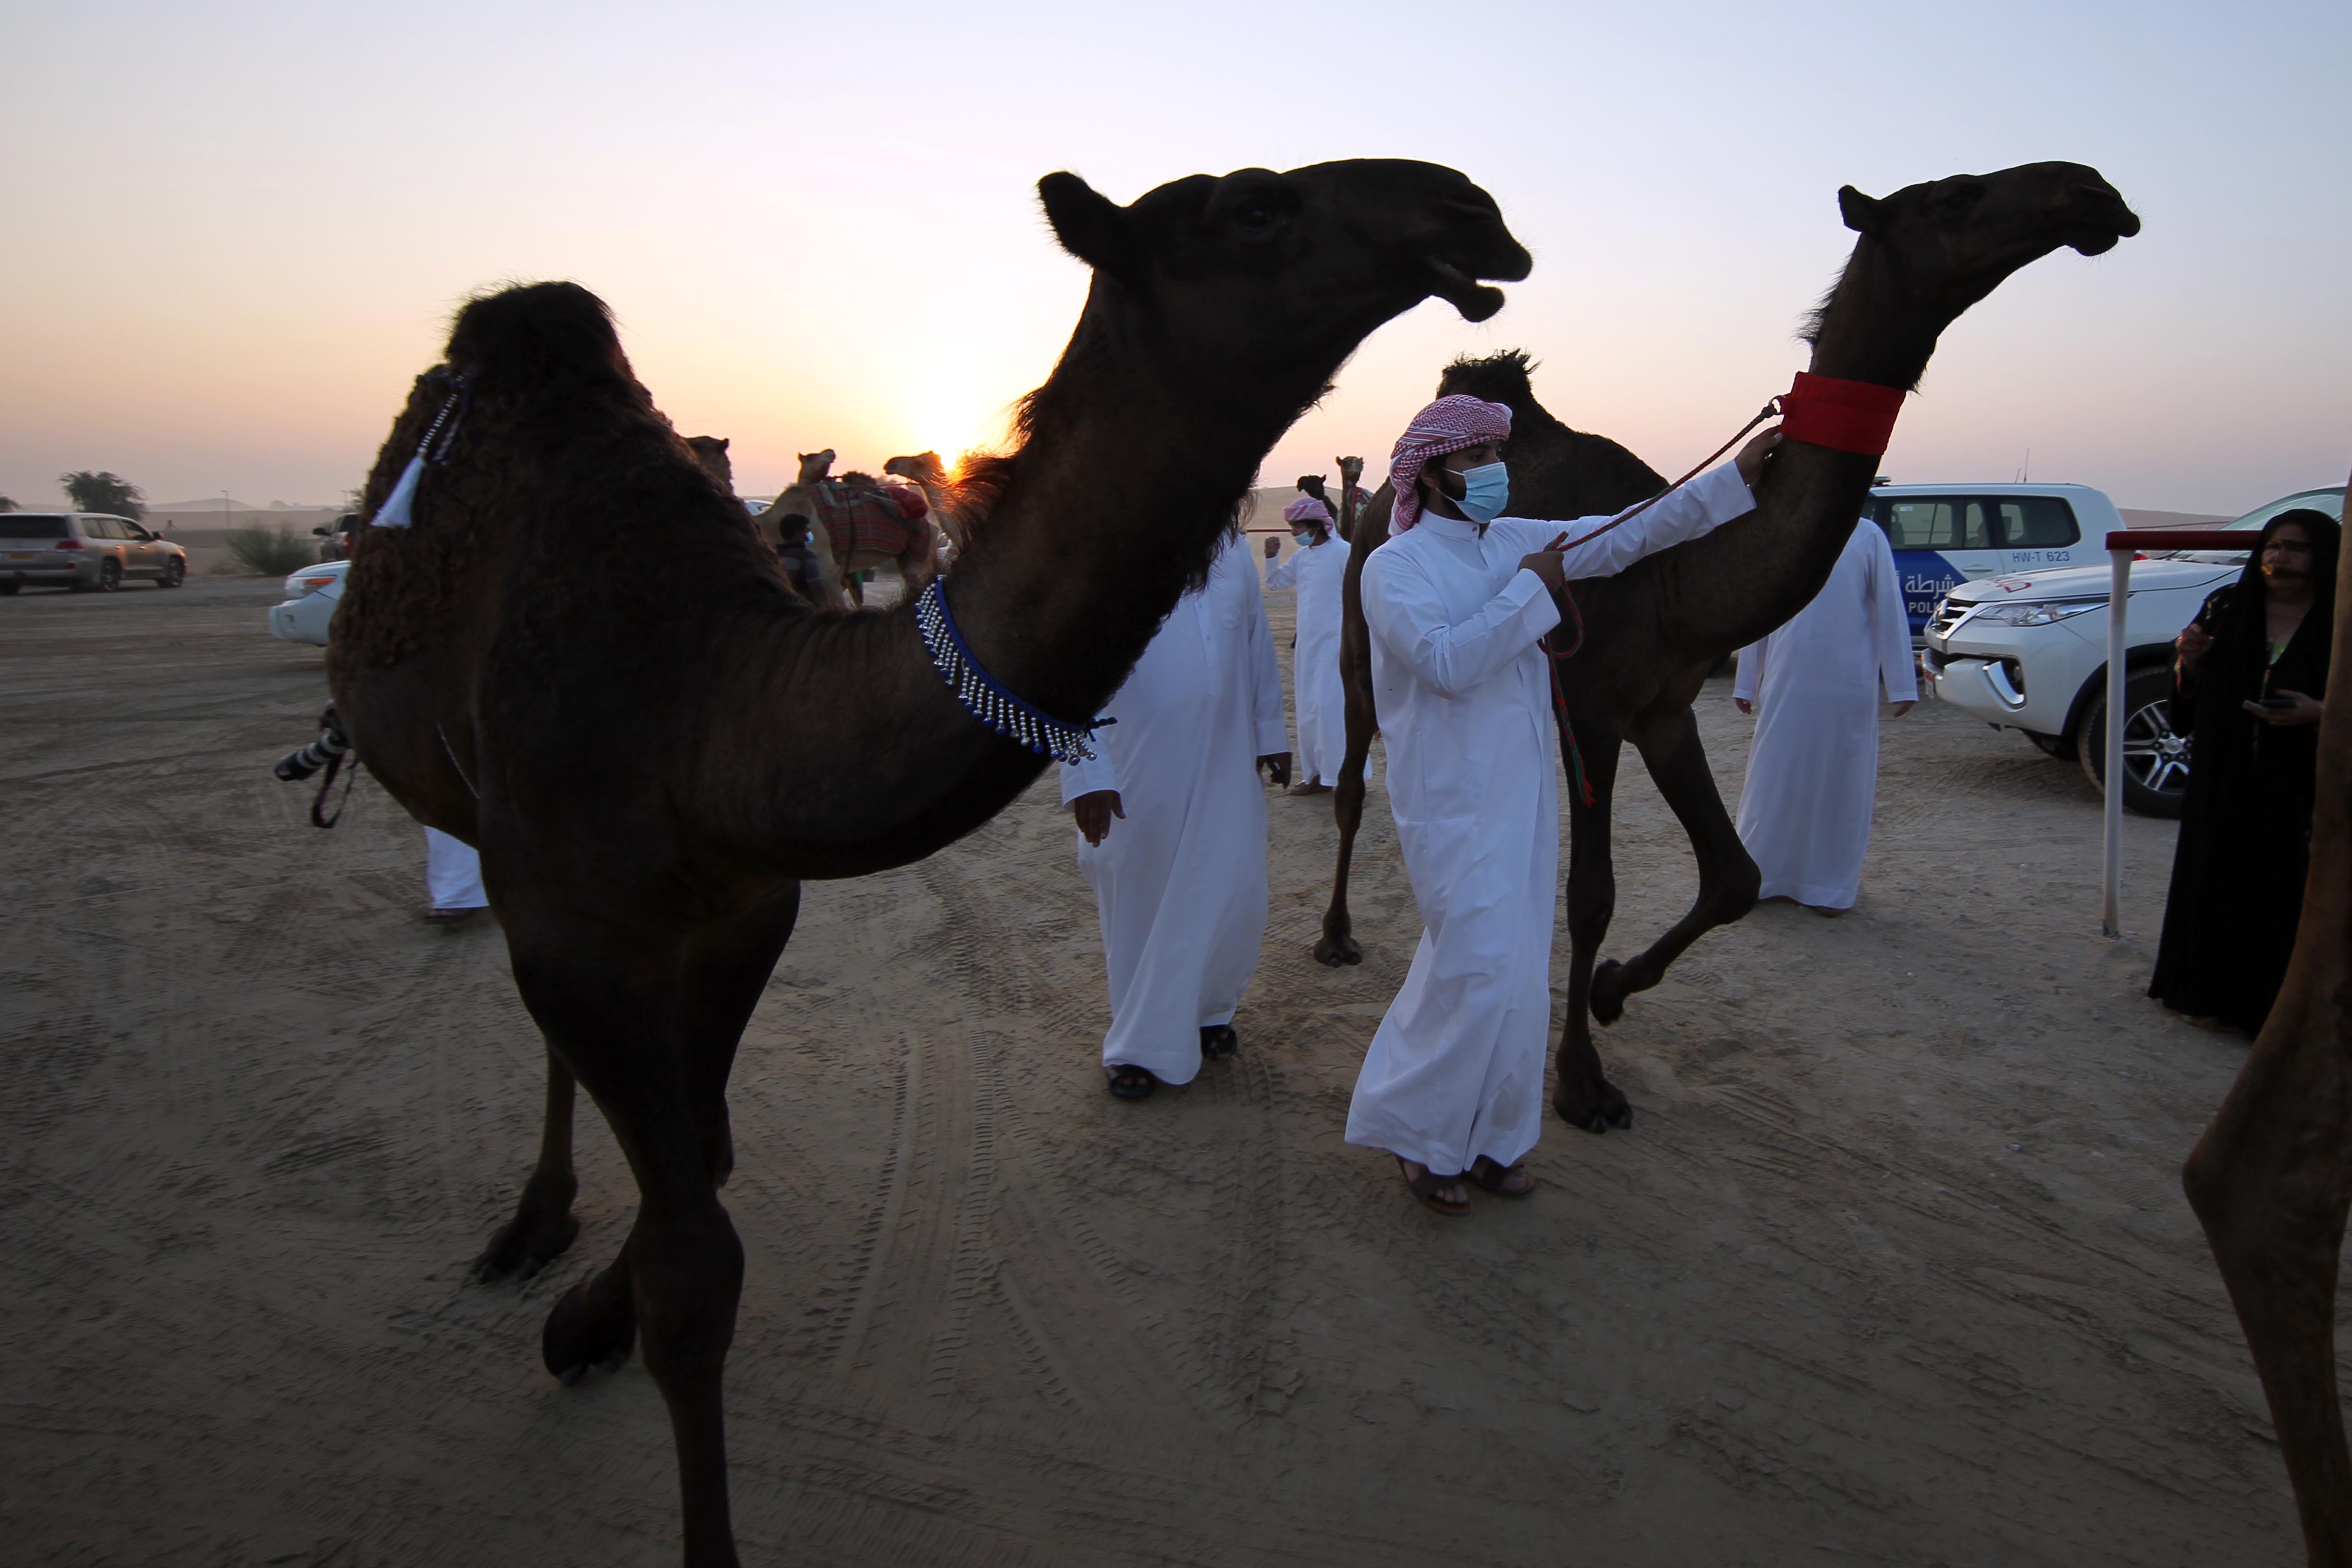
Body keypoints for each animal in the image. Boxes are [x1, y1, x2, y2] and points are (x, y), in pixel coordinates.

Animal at [331, 153, 1533, 1561]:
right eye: (1252, 208)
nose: (1472, 210)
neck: (697, 706)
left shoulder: (745, 909)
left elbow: (710, 1156)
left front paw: (584, 1322)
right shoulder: (579, 920)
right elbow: (694, 1274)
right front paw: (602, 1328)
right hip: (505, 851)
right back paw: (529, 1221)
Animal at [1317, 162, 2145, 1142]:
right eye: (1953, 196)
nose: (2092, 194)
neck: (1679, 581)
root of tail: (1374, 505)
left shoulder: (1666, 710)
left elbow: (1736, 877)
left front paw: (1610, 991)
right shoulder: (1593, 709)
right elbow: (1591, 892)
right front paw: (1582, 1083)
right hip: (1363, 643)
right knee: (1351, 782)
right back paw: (1336, 934)